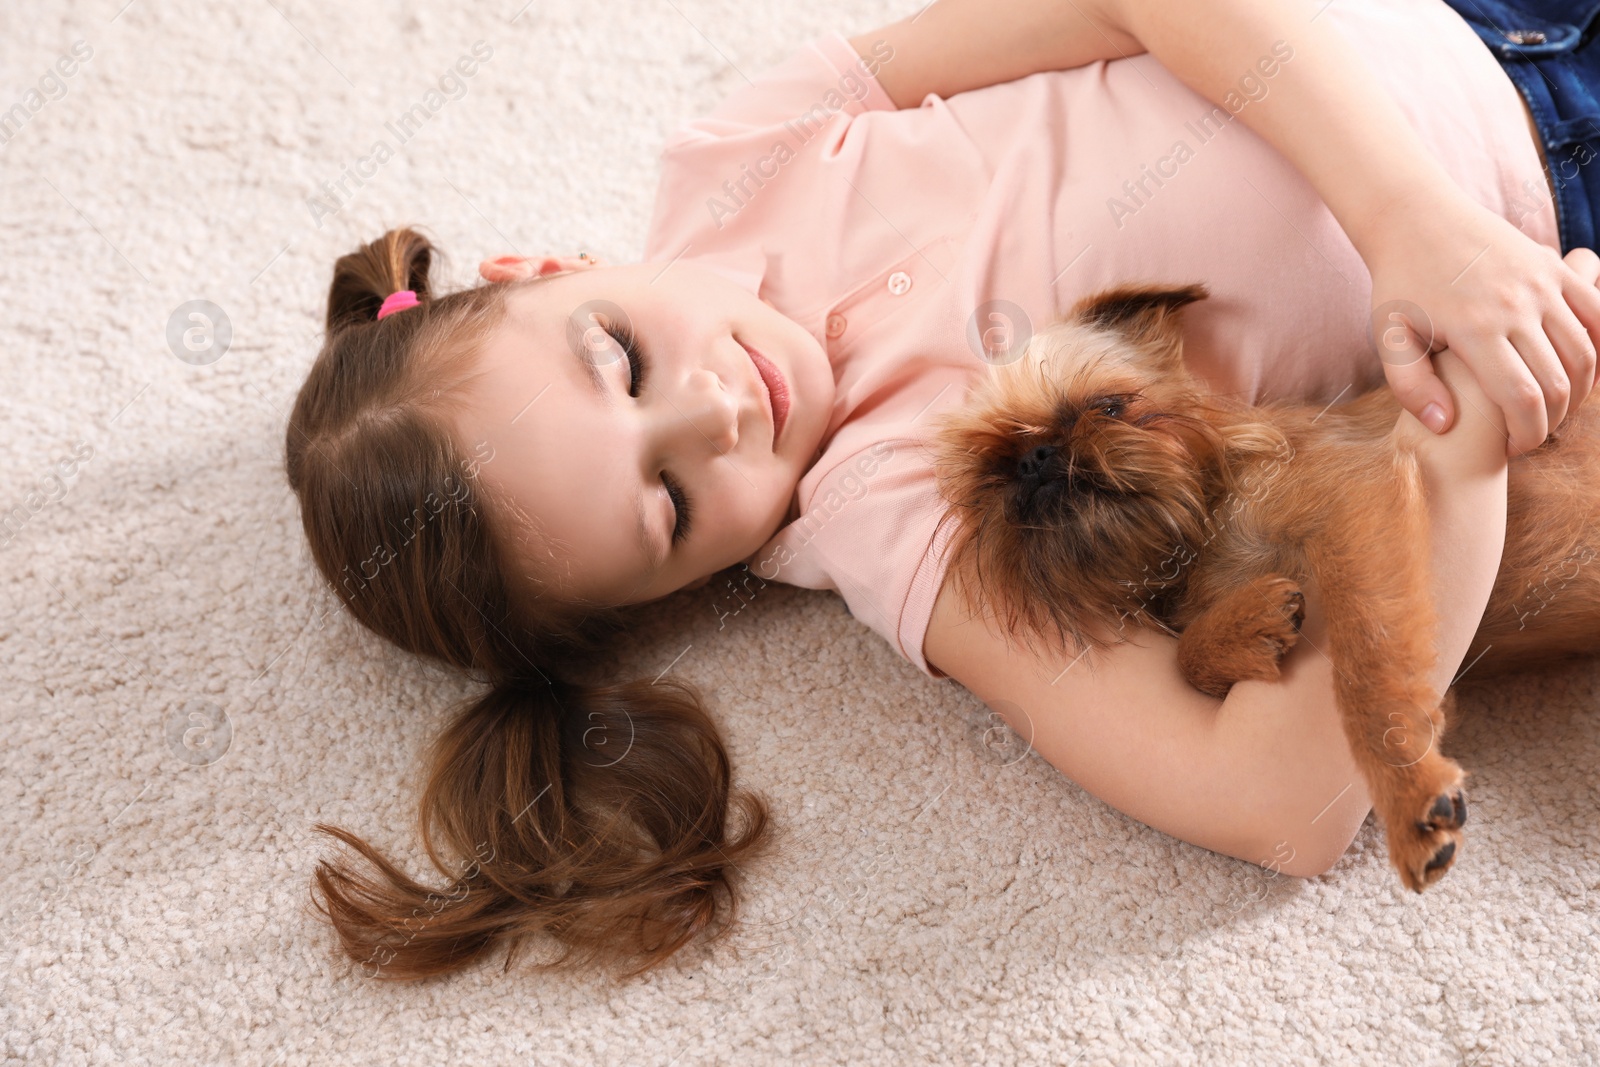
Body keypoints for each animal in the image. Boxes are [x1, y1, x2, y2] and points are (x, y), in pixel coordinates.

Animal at [934, 283, 1600, 895]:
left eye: (1109, 406)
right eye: (992, 468)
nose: (1037, 459)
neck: (1197, 537)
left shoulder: (1358, 502)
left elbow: (1366, 668)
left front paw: (1407, 789)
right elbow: (1186, 657)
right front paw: (1246, 627)